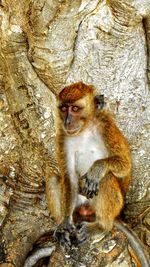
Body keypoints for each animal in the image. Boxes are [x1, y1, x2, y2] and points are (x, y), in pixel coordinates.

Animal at [45, 82, 149, 266]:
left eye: (75, 108)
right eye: (64, 108)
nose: (67, 121)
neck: (85, 128)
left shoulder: (107, 127)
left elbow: (125, 164)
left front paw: (97, 168)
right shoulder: (62, 137)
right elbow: (69, 177)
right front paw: (64, 224)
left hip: (113, 206)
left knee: (106, 178)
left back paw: (101, 226)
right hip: (79, 205)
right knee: (53, 179)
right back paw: (61, 228)